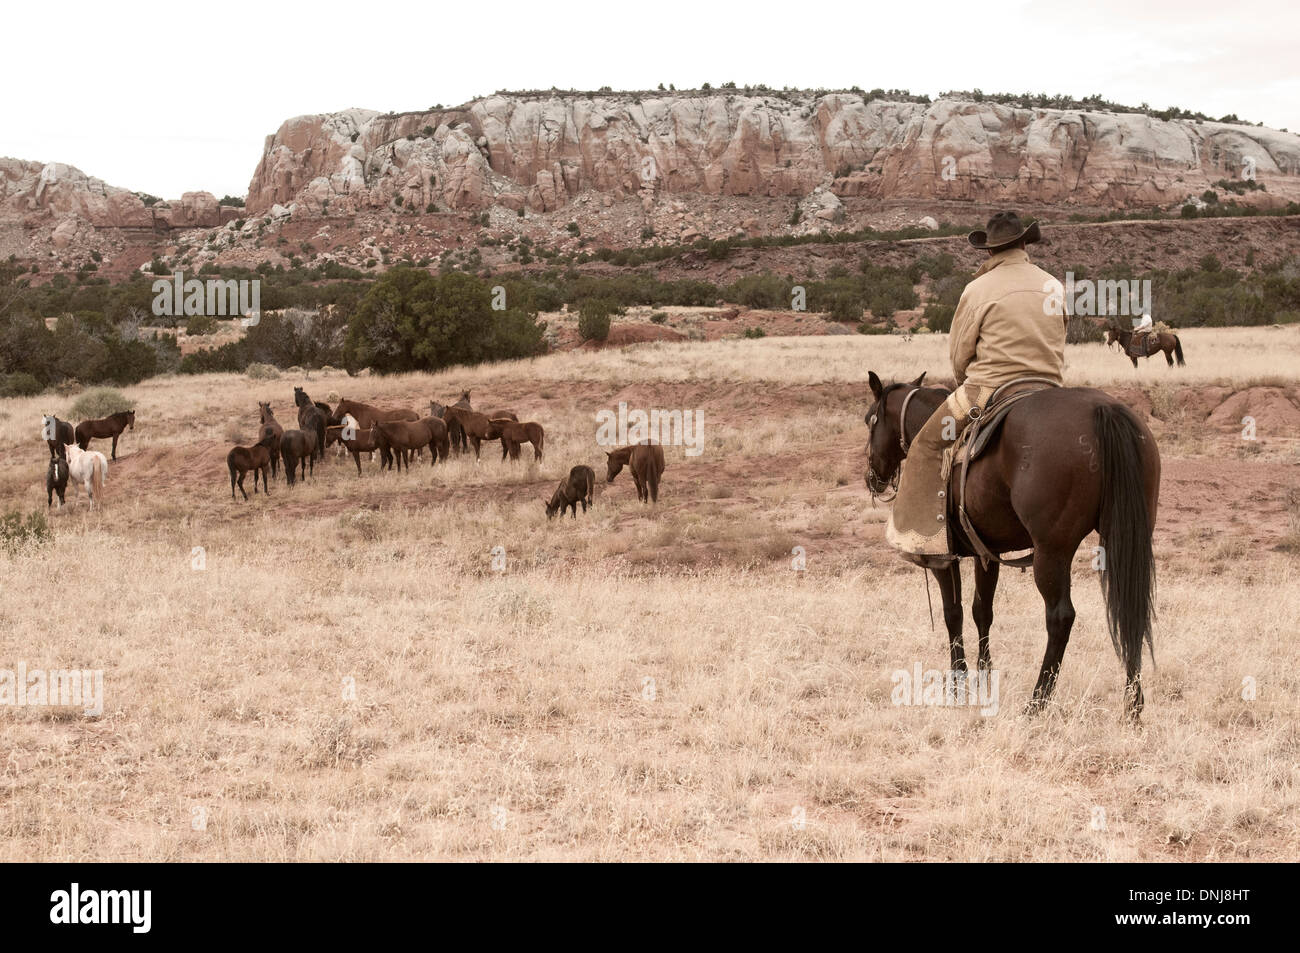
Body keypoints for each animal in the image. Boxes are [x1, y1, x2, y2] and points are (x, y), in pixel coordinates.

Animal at [863, 370, 1160, 721]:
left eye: (869, 420)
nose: (872, 476)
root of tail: (1104, 409)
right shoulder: (987, 553)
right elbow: (982, 610)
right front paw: (984, 674)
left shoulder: (945, 559)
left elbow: (953, 613)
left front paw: (958, 681)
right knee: (1132, 610)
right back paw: (1134, 704)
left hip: (1052, 552)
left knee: (1061, 617)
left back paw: (1038, 700)